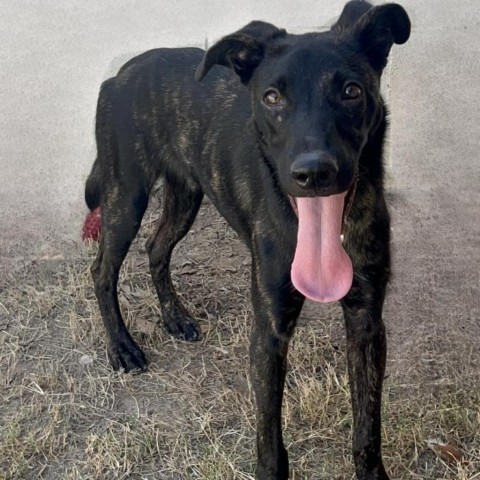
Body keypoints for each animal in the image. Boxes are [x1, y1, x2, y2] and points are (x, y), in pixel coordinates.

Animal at [84, 1, 410, 478]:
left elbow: (367, 426)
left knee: (156, 247)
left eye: (351, 91)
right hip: (126, 196)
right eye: (272, 98)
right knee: (102, 269)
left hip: (185, 195)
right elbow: (269, 438)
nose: (314, 173)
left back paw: (175, 317)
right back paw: (122, 347)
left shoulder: (367, 322)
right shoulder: (269, 331)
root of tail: (120, 73)